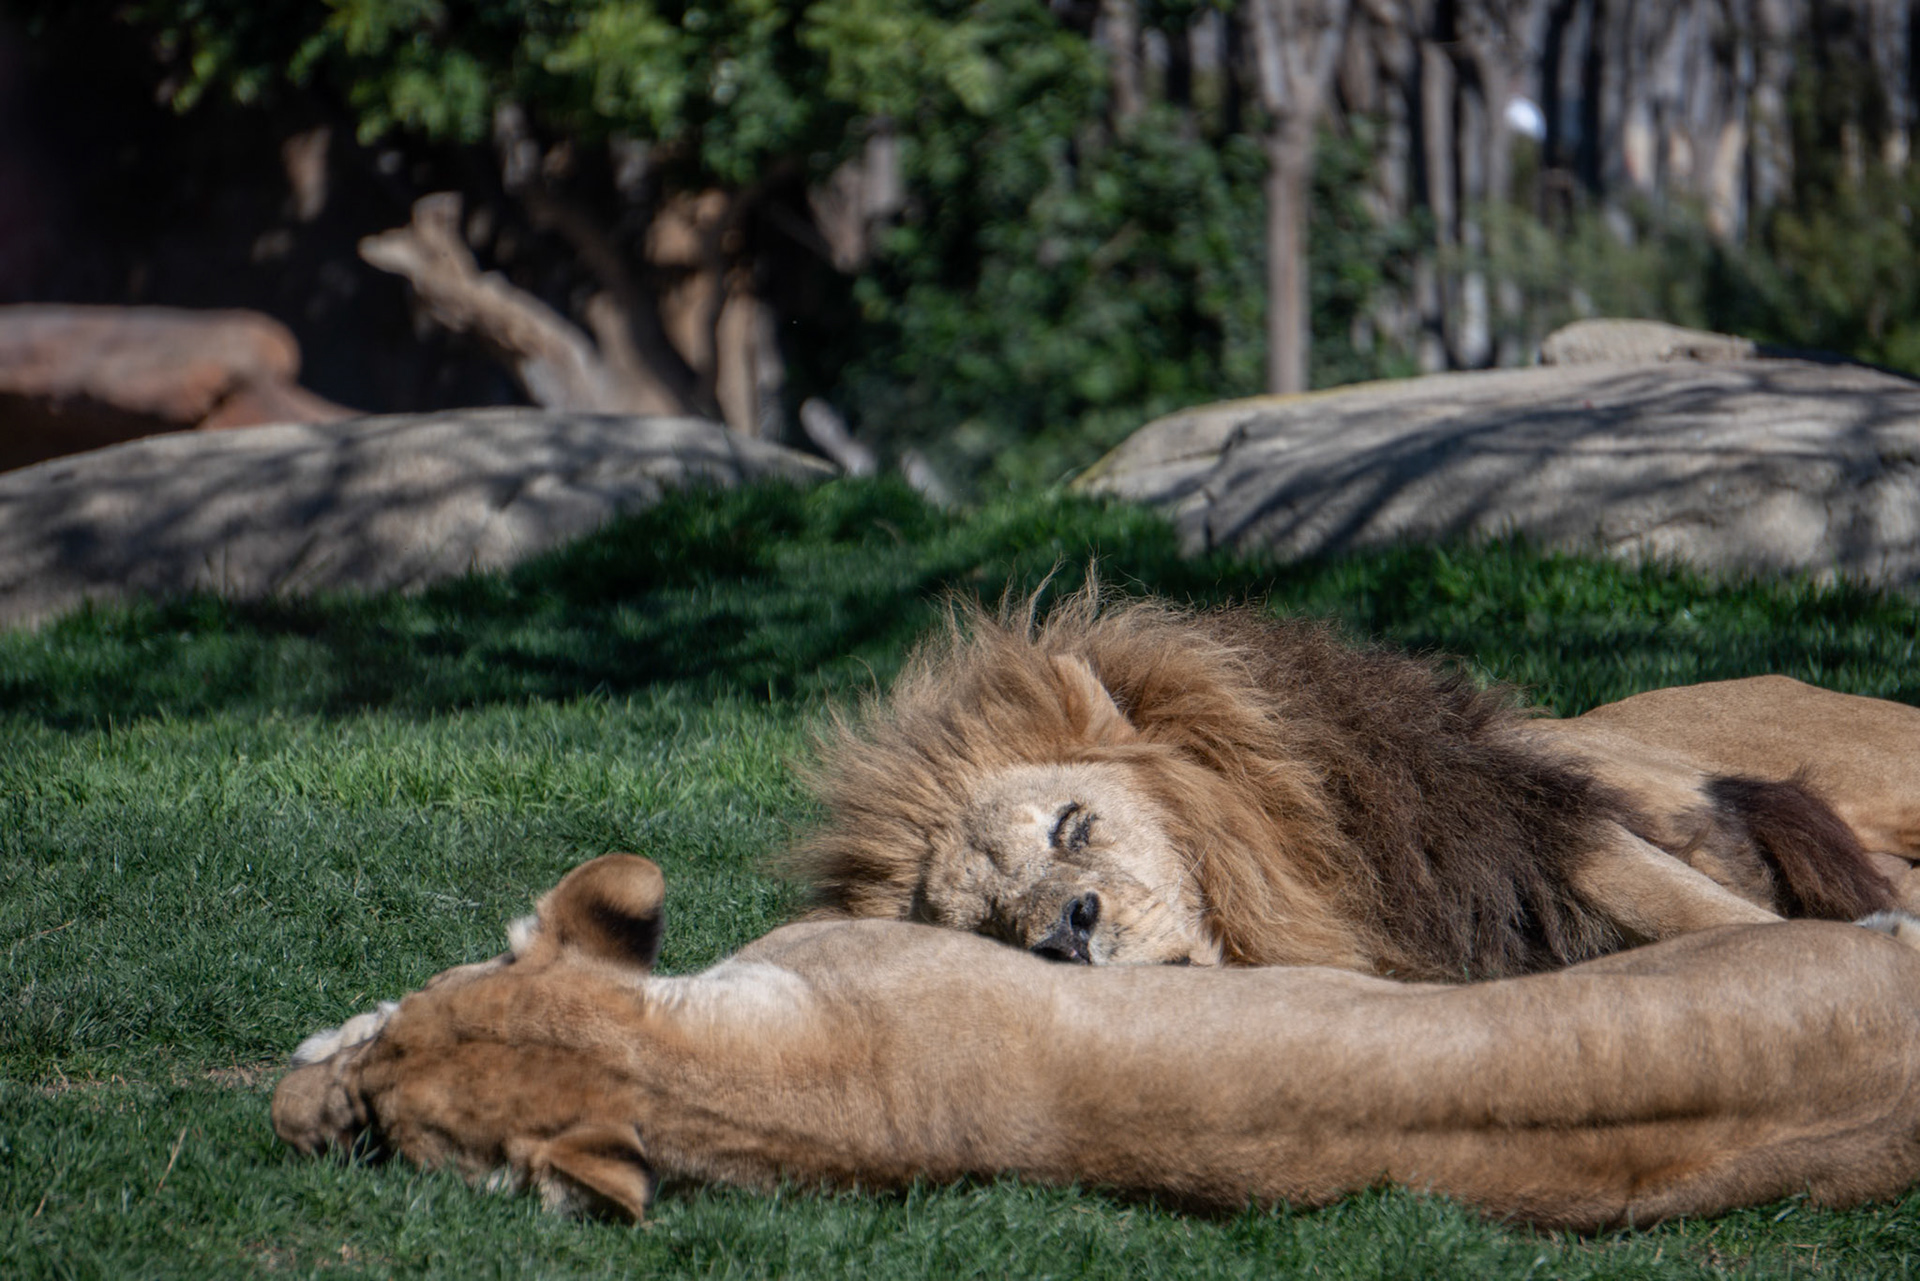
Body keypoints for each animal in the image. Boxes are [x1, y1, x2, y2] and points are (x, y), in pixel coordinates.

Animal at [793, 587, 1920, 980]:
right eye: (988, 927)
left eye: (1073, 826)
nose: (1067, 933)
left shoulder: (1522, 827)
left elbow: (1693, 904)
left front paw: (1879, 937)